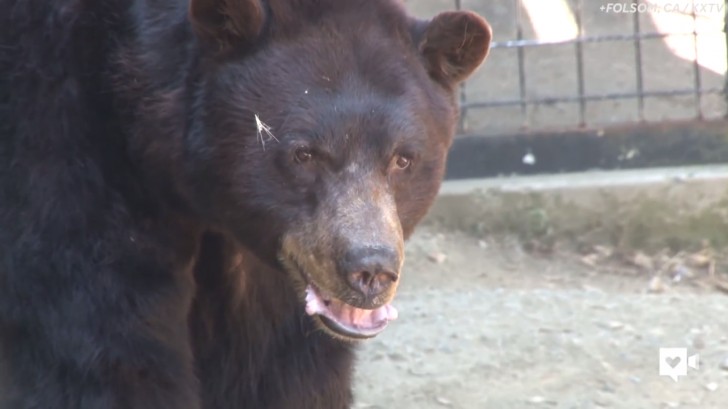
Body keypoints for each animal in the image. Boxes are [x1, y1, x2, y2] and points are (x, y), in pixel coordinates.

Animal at [0, 0, 492, 406]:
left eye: (403, 158)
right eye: (304, 154)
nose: (370, 269)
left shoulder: (277, 268)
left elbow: (278, 365)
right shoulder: (65, 152)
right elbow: (102, 343)